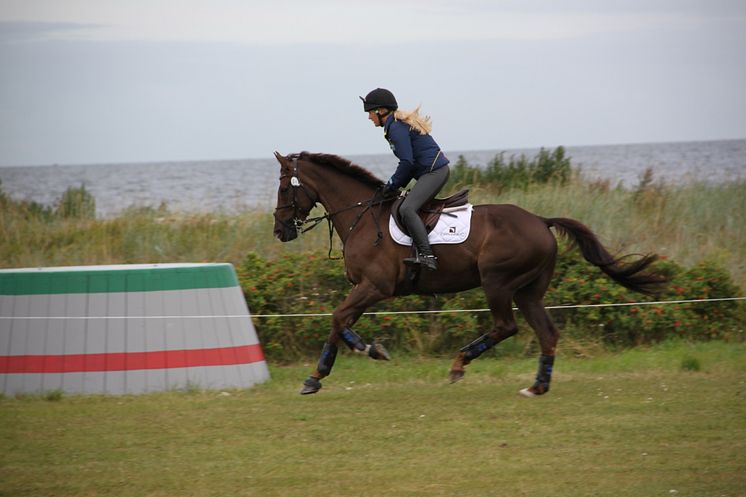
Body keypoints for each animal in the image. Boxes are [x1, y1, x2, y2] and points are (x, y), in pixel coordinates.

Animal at [270, 149, 664, 394]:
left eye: (283, 187)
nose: (279, 230)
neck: (363, 217)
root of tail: (541, 220)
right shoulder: (366, 289)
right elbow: (341, 323)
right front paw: (333, 368)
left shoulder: (375, 286)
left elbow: (338, 318)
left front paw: (349, 360)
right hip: (528, 291)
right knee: (547, 333)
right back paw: (537, 386)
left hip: (497, 282)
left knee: (506, 326)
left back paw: (460, 364)